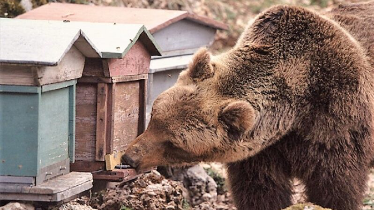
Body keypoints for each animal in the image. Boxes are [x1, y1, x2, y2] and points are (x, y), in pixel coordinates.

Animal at [122, 2, 374, 210]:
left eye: (174, 143)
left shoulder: (335, 123)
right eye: (154, 117)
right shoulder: (261, 151)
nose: (129, 158)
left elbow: (334, 187)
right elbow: (259, 189)